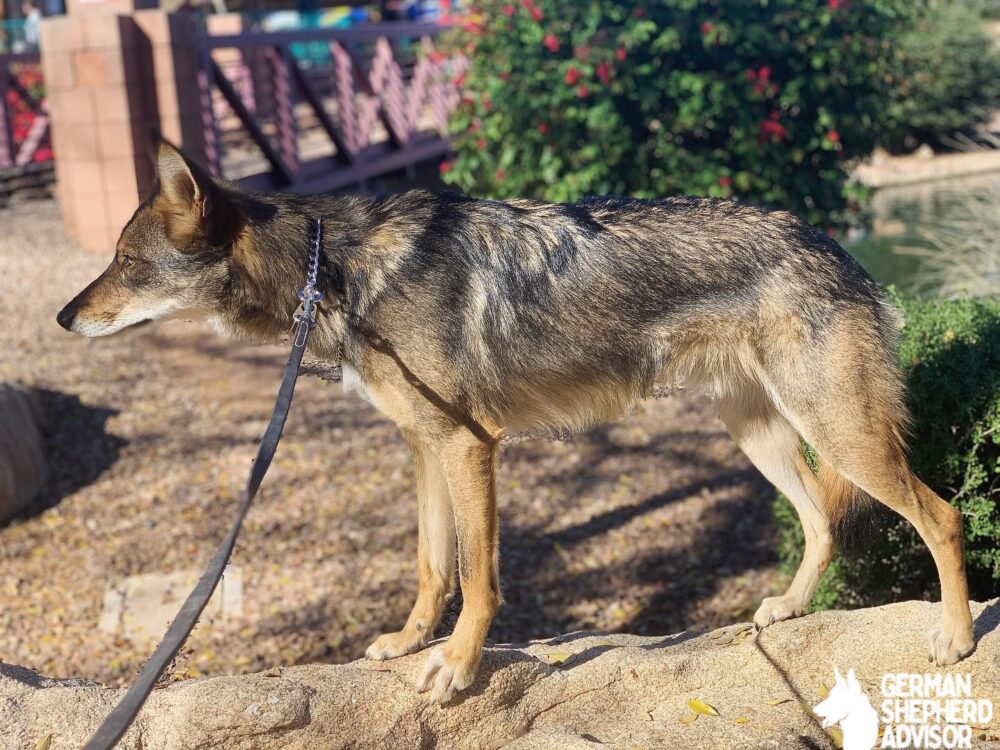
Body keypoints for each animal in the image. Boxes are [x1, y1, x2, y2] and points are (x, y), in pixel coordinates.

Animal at [58, 144, 972, 708]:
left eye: (127, 265)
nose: (65, 317)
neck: (337, 269)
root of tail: (839, 247)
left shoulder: (469, 447)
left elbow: (479, 579)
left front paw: (457, 669)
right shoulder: (423, 448)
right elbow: (431, 567)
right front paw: (406, 642)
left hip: (840, 436)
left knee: (942, 516)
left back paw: (956, 639)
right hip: (763, 436)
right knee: (821, 522)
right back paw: (786, 608)